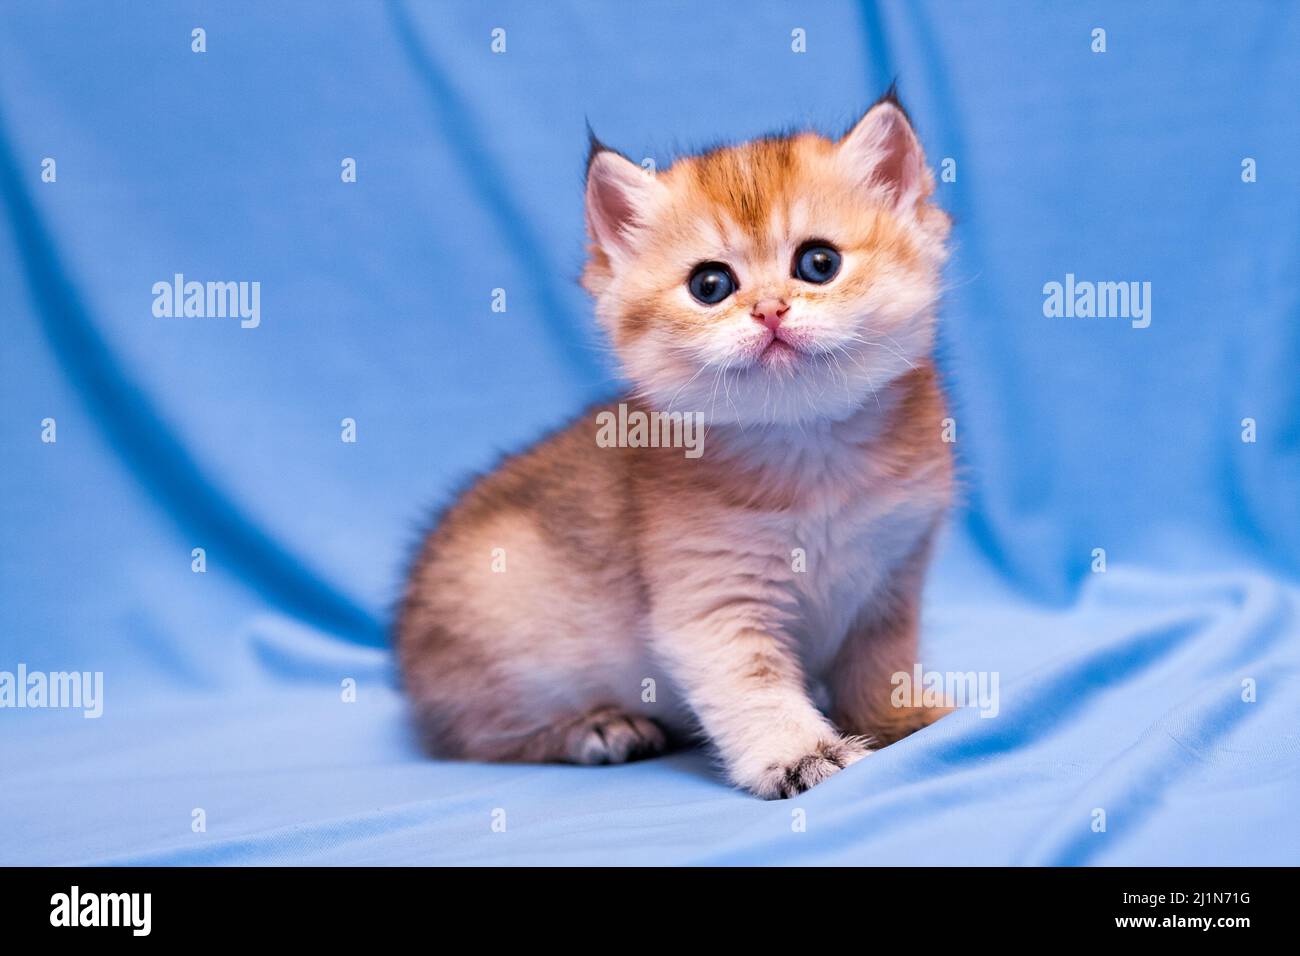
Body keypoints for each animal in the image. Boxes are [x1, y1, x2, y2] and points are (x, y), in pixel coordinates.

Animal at [400, 93, 961, 801]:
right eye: (710, 285)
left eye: (819, 264)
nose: (770, 310)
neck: (809, 447)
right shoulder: (712, 602)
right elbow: (754, 688)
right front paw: (801, 755)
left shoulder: (892, 579)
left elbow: (880, 664)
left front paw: (899, 720)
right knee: (477, 738)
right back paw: (595, 730)